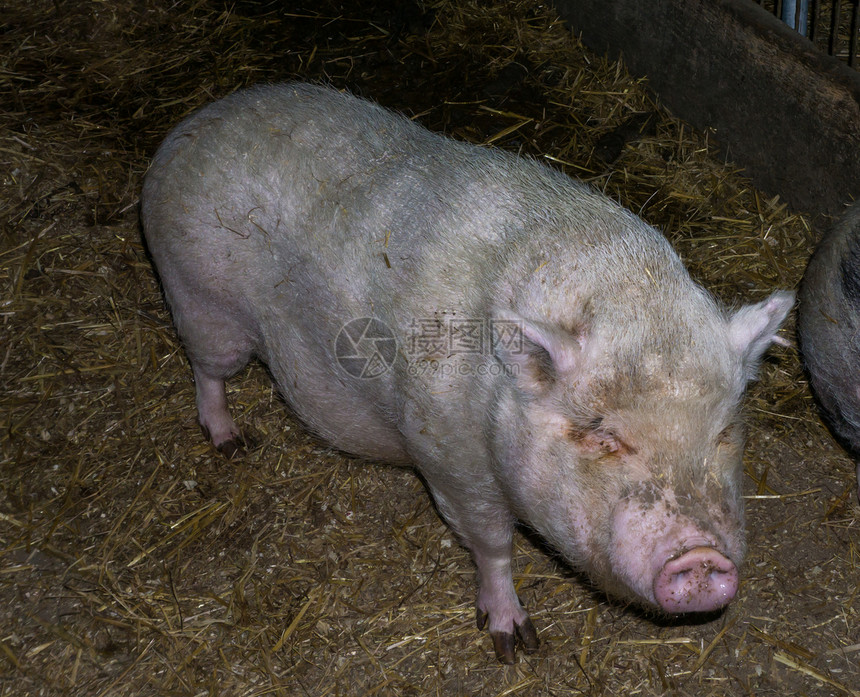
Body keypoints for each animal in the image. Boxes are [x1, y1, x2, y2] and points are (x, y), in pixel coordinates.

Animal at [139, 83, 792, 664]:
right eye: (604, 436)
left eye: (722, 433)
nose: (702, 558)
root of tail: (188, 128)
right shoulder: (449, 458)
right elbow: (492, 545)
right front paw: (514, 644)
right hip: (202, 299)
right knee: (206, 370)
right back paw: (231, 443)